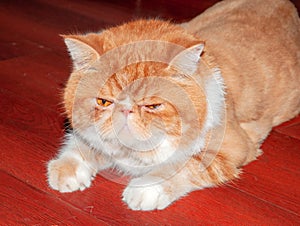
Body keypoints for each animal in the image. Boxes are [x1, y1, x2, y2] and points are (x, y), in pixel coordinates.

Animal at [47, 0, 300, 211]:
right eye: (103, 102)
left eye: (153, 106)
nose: (125, 110)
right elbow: (84, 143)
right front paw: (68, 167)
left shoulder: (231, 149)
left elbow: (183, 167)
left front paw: (146, 189)